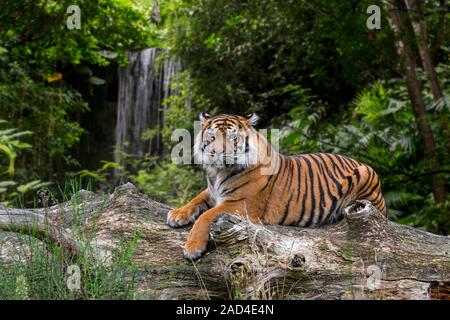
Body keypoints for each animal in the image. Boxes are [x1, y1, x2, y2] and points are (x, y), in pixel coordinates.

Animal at [166, 113, 386, 260]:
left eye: (232, 138)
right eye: (211, 137)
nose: (217, 153)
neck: (218, 172)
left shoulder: (240, 204)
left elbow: (205, 216)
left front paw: (192, 248)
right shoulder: (212, 193)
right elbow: (195, 200)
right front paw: (177, 214)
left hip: (366, 173)